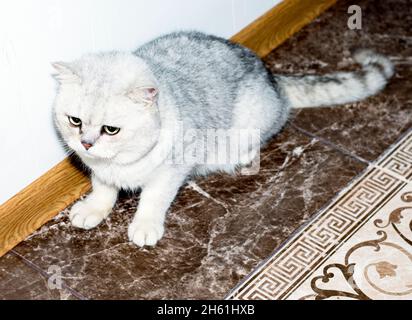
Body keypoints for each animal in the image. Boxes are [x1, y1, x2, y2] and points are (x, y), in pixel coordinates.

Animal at [53, 31, 394, 246]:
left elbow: (153, 199)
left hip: (245, 127)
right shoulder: (100, 170)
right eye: (75, 121)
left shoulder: (171, 171)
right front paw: (94, 208)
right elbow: (103, 187)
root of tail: (273, 78)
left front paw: (145, 226)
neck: (121, 162)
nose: (85, 143)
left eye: (111, 130)